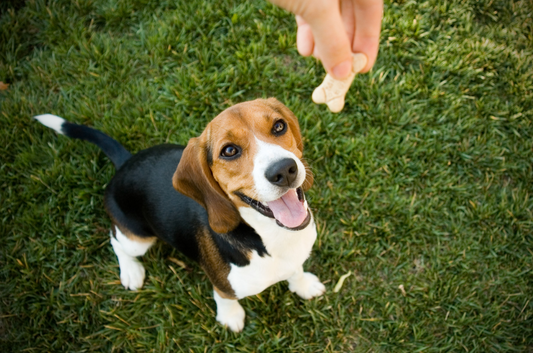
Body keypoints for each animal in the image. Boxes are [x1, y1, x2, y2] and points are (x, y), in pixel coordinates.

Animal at [36, 98, 324, 330]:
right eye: (229, 151)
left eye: (279, 126)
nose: (284, 170)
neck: (271, 235)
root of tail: (125, 163)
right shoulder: (223, 285)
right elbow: (225, 298)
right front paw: (230, 318)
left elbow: (296, 270)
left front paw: (303, 285)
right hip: (138, 239)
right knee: (116, 240)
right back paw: (131, 271)